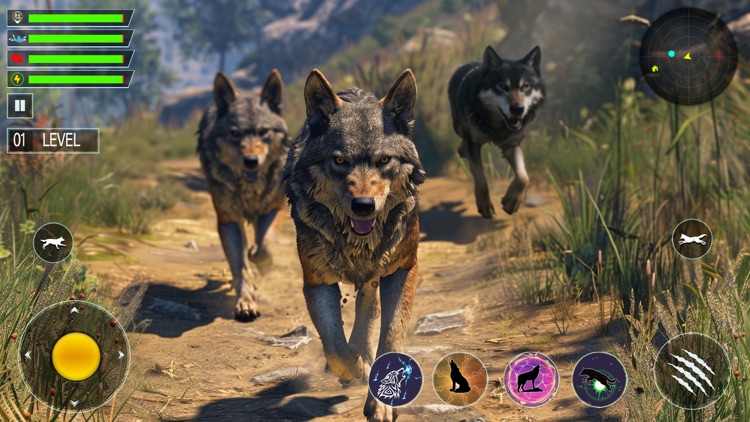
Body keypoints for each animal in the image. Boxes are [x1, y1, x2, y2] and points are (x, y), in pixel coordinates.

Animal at [197, 70, 290, 321]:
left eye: (263, 132)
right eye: (235, 133)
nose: (250, 161)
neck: (250, 187)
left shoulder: (274, 208)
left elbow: (264, 246)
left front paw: (260, 260)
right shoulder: (228, 220)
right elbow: (239, 266)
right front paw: (245, 302)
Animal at [284, 68, 425, 422]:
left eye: (384, 159)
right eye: (340, 160)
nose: (363, 206)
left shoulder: (403, 270)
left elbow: (391, 337)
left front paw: (382, 403)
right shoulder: (316, 282)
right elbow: (334, 346)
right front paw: (355, 367)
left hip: (375, 277)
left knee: (367, 308)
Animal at [448, 45, 545, 218]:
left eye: (525, 86)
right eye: (503, 86)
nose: (518, 109)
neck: (496, 126)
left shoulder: (511, 146)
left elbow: (524, 177)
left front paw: (511, 202)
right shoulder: (473, 143)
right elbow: (480, 178)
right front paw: (485, 206)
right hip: (458, 126)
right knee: (462, 139)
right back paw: (462, 150)